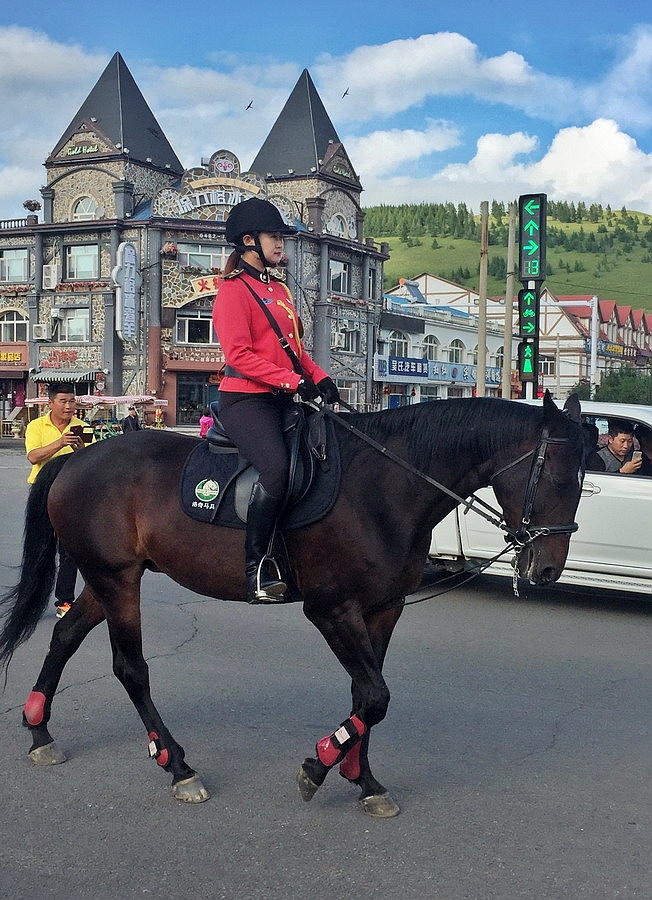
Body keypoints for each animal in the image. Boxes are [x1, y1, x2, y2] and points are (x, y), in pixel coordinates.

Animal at [0, 394, 584, 816]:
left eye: (584, 480)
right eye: (559, 477)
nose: (548, 569)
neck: (387, 485)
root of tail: (77, 456)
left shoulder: (384, 609)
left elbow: (367, 694)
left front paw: (362, 779)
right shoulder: (331, 610)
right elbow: (375, 695)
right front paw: (321, 765)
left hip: (110, 579)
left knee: (64, 636)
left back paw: (39, 729)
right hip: (117, 579)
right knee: (130, 667)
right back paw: (177, 765)